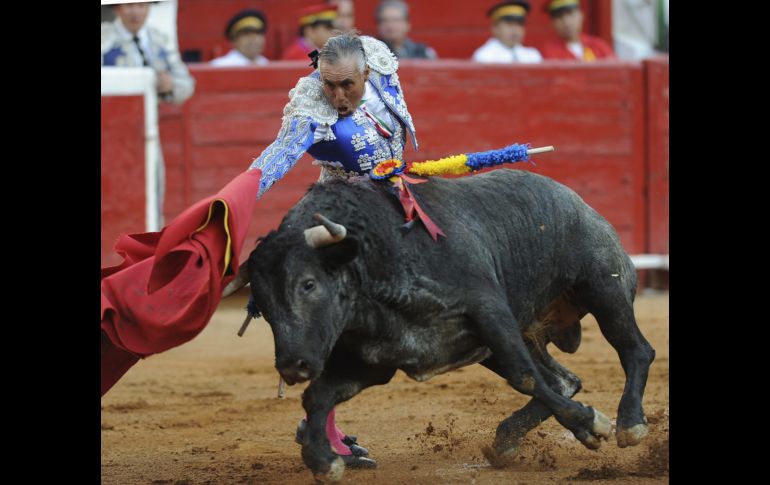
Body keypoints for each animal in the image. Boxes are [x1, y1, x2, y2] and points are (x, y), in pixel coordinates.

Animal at [243, 168, 652, 478]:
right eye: (262, 304)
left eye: (308, 284)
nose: (293, 366)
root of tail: (581, 204)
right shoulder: (373, 360)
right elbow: (318, 396)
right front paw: (324, 460)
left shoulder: (490, 310)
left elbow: (523, 376)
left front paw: (591, 425)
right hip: (511, 339)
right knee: (564, 379)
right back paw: (506, 440)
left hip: (603, 288)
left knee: (635, 351)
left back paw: (630, 424)